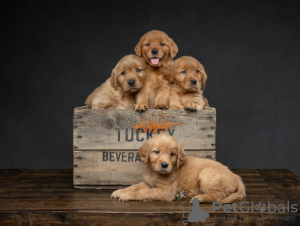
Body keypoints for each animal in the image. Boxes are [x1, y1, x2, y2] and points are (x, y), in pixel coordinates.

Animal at [111, 134, 245, 203]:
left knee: (219, 195)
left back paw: (199, 198)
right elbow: (135, 186)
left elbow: (143, 192)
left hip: (206, 174)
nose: (165, 165)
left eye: (172, 154)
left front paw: (128, 195)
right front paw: (120, 191)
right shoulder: (148, 182)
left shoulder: (165, 191)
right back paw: (184, 194)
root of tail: (236, 177)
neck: (154, 172)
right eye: (157, 151)